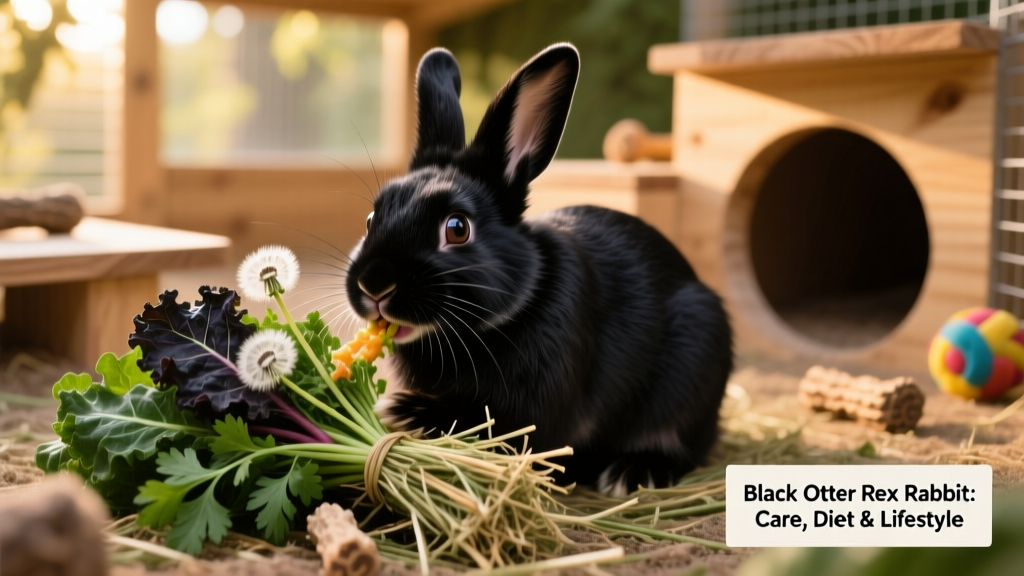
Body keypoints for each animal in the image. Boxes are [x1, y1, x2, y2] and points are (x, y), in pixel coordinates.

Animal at [345, 43, 733, 495]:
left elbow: (488, 423)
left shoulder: (533, 407)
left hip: (694, 360)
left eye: (457, 228)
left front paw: (400, 408)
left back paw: (632, 473)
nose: (374, 284)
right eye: (372, 219)